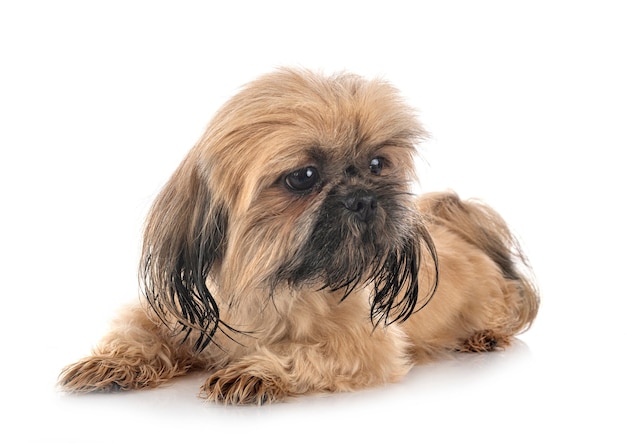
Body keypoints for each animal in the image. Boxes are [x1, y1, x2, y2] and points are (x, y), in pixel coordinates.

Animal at [58, 68, 536, 406]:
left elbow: (302, 350)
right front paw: (111, 362)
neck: (267, 282)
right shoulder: (173, 316)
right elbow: (136, 333)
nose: (363, 197)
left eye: (377, 164)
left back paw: (485, 335)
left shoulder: (366, 343)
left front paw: (256, 371)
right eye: (303, 177)